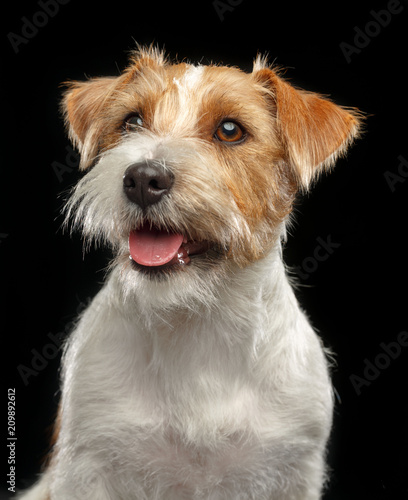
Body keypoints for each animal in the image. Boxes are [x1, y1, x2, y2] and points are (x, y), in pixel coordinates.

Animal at [20, 45, 362, 498]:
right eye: (132, 121)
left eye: (230, 130)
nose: (143, 177)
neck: (197, 323)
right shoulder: (88, 465)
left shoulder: (291, 471)